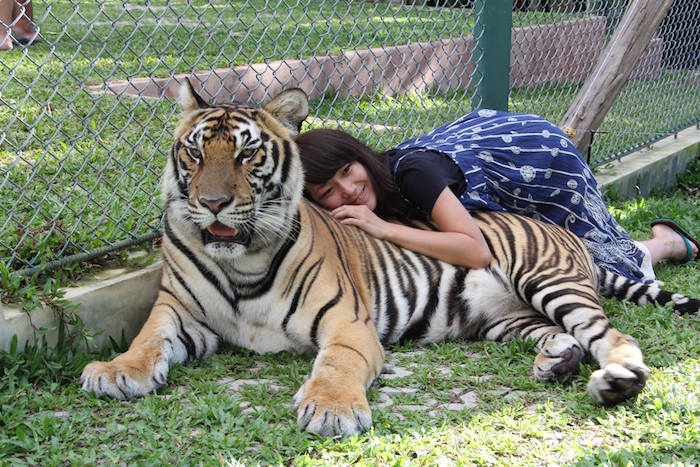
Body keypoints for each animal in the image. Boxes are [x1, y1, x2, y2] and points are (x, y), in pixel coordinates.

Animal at [82, 81, 700, 438]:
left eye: (246, 153)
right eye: (193, 152)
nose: (211, 202)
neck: (241, 262)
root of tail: (562, 233)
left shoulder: (346, 321)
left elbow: (337, 363)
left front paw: (331, 409)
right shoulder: (180, 311)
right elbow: (148, 340)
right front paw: (115, 371)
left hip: (547, 279)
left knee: (610, 333)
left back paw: (616, 380)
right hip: (504, 318)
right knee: (559, 334)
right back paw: (556, 361)